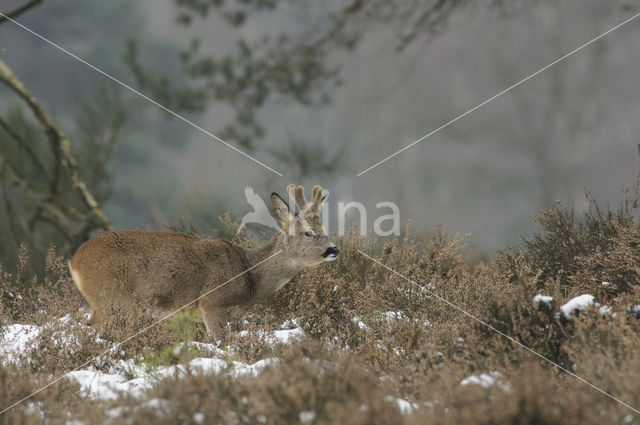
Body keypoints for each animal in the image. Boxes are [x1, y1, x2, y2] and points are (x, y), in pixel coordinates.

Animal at [69, 184, 340, 340]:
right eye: (308, 233)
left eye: (324, 229)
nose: (334, 249)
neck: (249, 275)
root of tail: (75, 262)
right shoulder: (213, 303)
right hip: (114, 299)